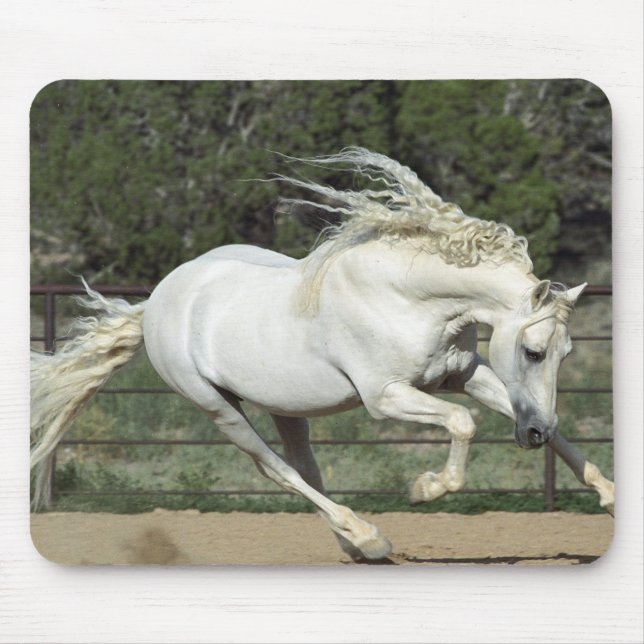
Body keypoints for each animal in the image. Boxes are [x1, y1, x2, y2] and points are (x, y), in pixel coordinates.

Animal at [30, 148, 614, 561]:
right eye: (534, 351)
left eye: (566, 353)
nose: (531, 433)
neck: (407, 296)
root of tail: (156, 301)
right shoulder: (386, 397)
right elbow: (463, 423)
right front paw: (426, 489)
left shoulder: (462, 374)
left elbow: (531, 425)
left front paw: (607, 494)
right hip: (217, 408)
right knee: (277, 471)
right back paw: (368, 536)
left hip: (287, 408)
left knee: (306, 468)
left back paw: (353, 543)